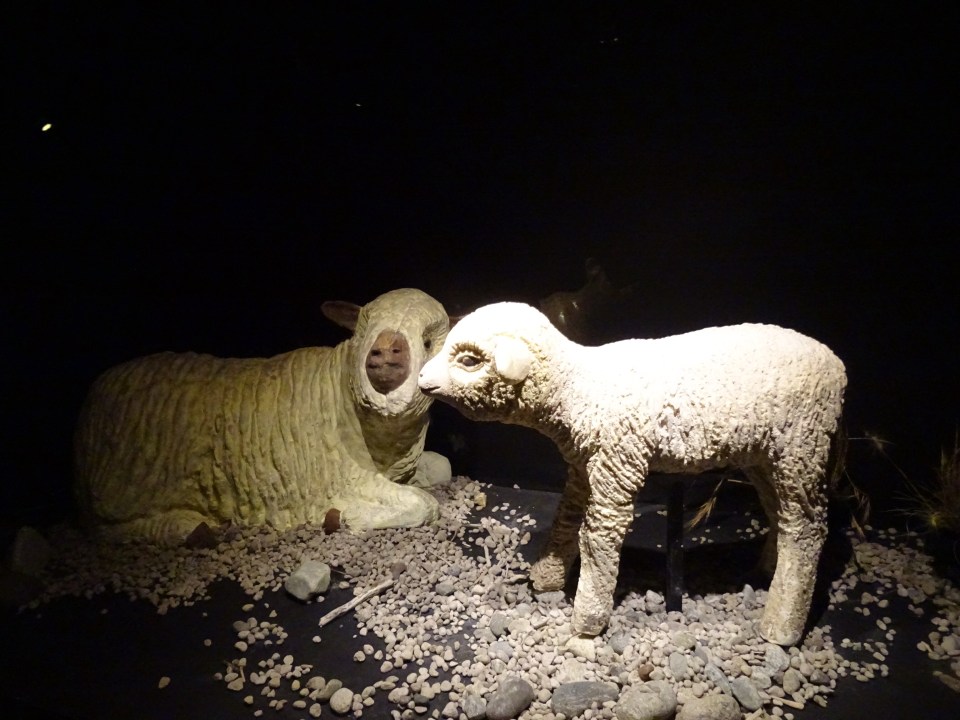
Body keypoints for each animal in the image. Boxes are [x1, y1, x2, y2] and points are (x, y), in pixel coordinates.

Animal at [74, 288, 452, 544]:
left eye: (428, 341)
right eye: (362, 330)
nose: (385, 351)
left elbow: (441, 467)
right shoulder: (344, 479)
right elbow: (425, 504)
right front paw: (344, 516)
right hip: (119, 488)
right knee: (106, 530)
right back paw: (190, 528)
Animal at [418, 302, 846, 646]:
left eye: (469, 361)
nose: (421, 380)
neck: (577, 388)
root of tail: (837, 366)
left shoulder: (617, 461)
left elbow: (598, 536)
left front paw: (587, 618)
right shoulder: (583, 465)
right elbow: (565, 518)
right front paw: (548, 576)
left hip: (801, 448)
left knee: (807, 529)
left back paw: (781, 625)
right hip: (766, 456)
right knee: (781, 515)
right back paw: (769, 570)